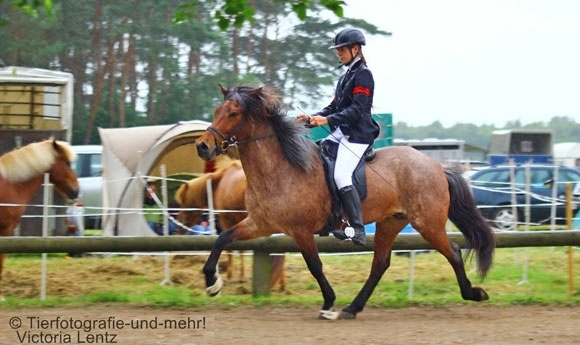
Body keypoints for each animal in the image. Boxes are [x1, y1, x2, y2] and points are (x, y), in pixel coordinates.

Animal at [176, 156, 286, 290]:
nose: (179, 224)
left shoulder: (228, 221)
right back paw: (282, 284)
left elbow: (231, 249)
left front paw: (233, 276)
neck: (220, 182)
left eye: (184, 201)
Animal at [194, 84, 494, 320]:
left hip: (428, 223)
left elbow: (315, 265)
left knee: (453, 252)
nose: (202, 146)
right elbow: (222, 239)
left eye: (233, 113)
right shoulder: (260, 224)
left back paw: (474, 293)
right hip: (391, 222)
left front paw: (328, 303)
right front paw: (212, 282)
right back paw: (353, 307)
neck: (280, 169)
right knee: (380, 263)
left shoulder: (301, 231)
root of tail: (437, 166)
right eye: (217, 111)